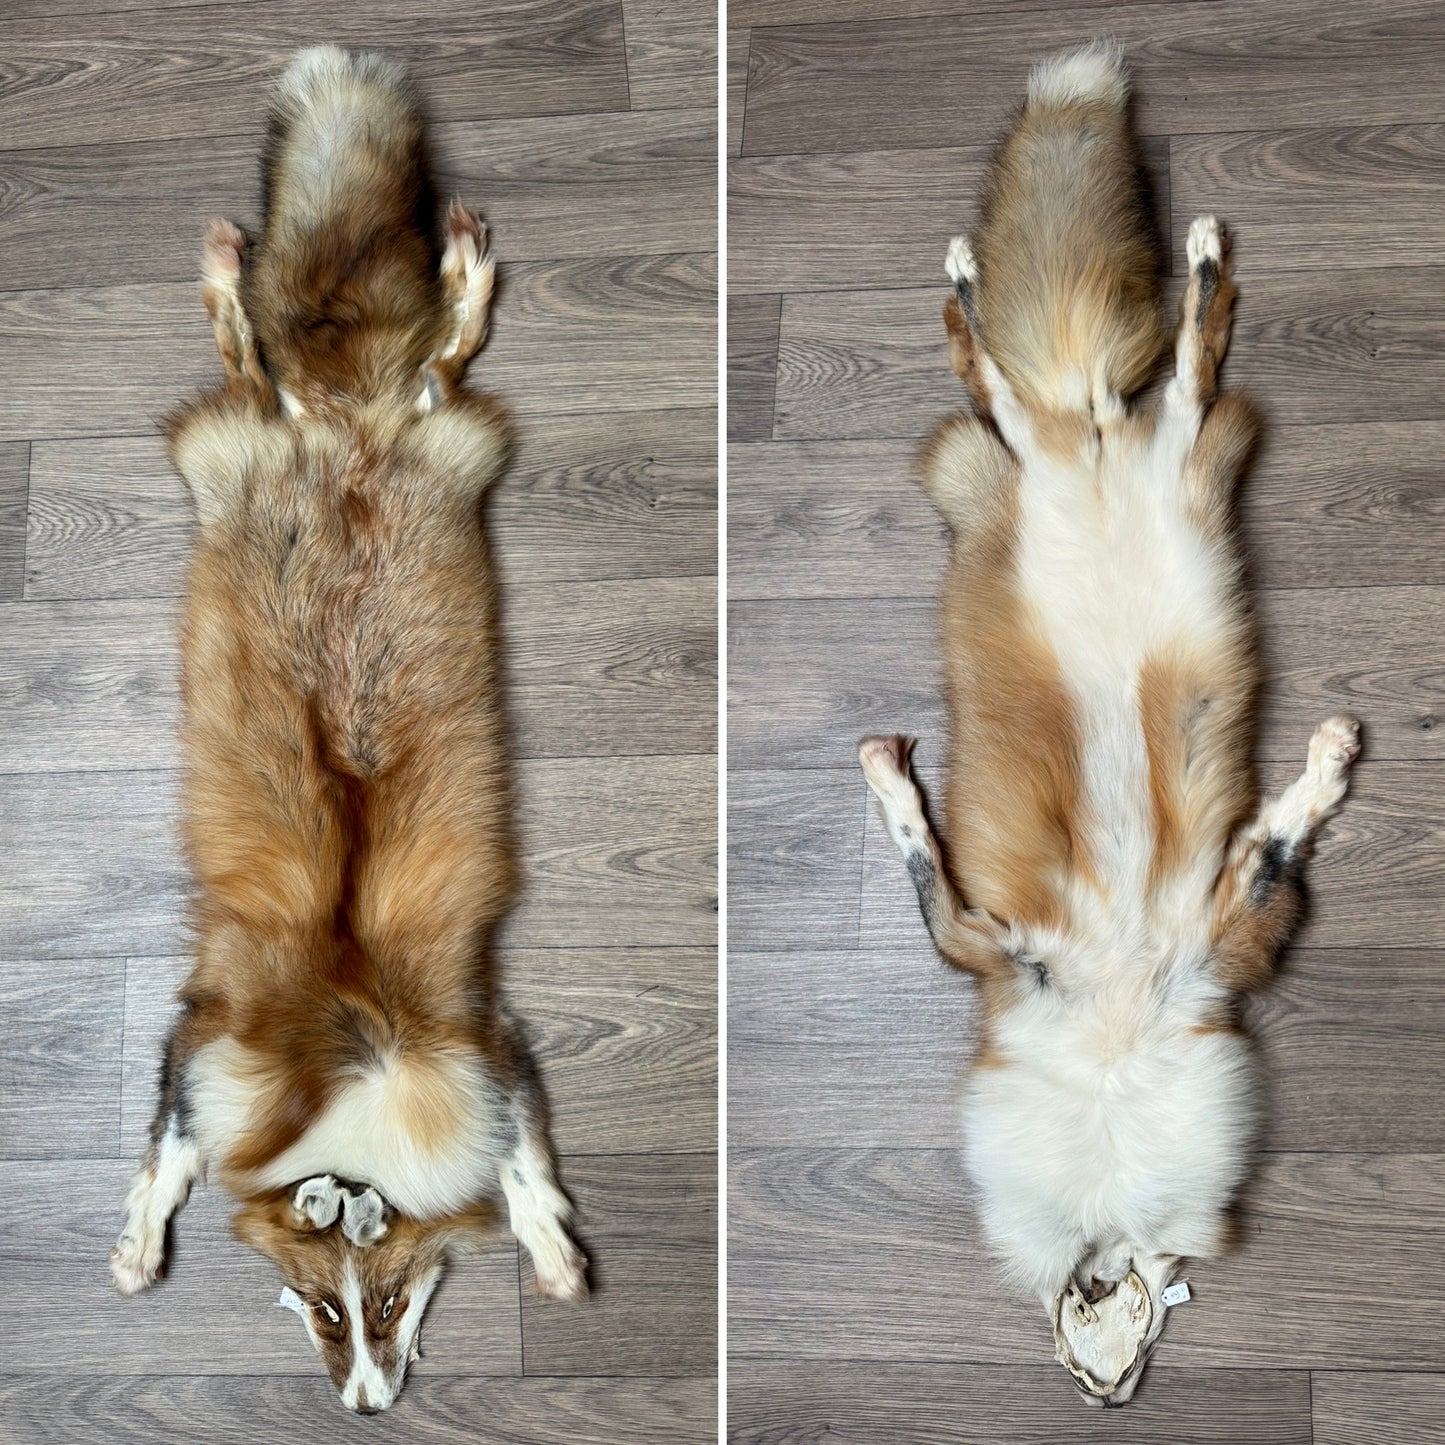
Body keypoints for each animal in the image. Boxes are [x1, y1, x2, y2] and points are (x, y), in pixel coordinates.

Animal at [109, 46, 586, 1413]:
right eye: (320, 1310)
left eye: (389, 1300)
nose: (369, 1404)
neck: (350, 1052)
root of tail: (341, 424)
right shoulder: (206, 1038)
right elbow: (166, 1156)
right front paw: (135, 1245)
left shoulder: (479, 1045)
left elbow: (524, 1162)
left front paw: (551, 1246)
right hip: (252, 443)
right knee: (254, 357)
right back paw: (233, 269)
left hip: (424, 431)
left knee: (423, 351)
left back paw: (452, 263)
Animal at [858, 40, 1360, 1405]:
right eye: (1099, 1376)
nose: (1108, 1388)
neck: (1112, 1032)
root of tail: (1081, 425)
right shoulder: (1002, 952)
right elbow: (915, 848)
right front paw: (882, 766)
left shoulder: (1215, 942)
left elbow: (1283, 830)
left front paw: (1328, 758)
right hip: (1092, 453)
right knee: (1061, 370)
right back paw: (1002, 269)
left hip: (1167, 459)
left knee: (1152, 361)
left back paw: (1160, 253)